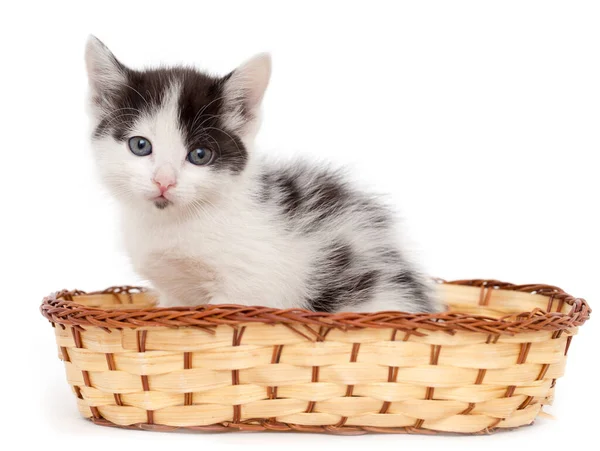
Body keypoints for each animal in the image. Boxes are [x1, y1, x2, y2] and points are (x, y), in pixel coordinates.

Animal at [84, 36, 442, 314]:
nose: (164, 181)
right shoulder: (174, 293)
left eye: (199, 155)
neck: (174, 224)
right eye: (140, 145)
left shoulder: (249, 288)